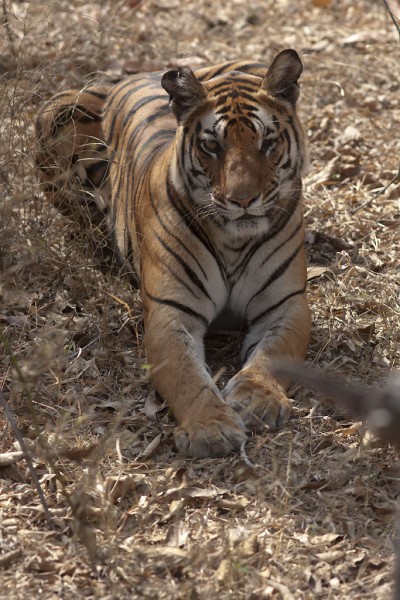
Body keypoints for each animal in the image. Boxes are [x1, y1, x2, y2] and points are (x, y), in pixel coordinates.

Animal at [36, 48, 310, 460]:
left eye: (267, 142)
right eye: (212, 145)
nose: (243, 200)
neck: (234, 242)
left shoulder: (287, 305)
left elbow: (273, 354)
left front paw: (257, 398)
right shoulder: (170, 314)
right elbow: (186, 377)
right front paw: (211, 427)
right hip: (55, 111)